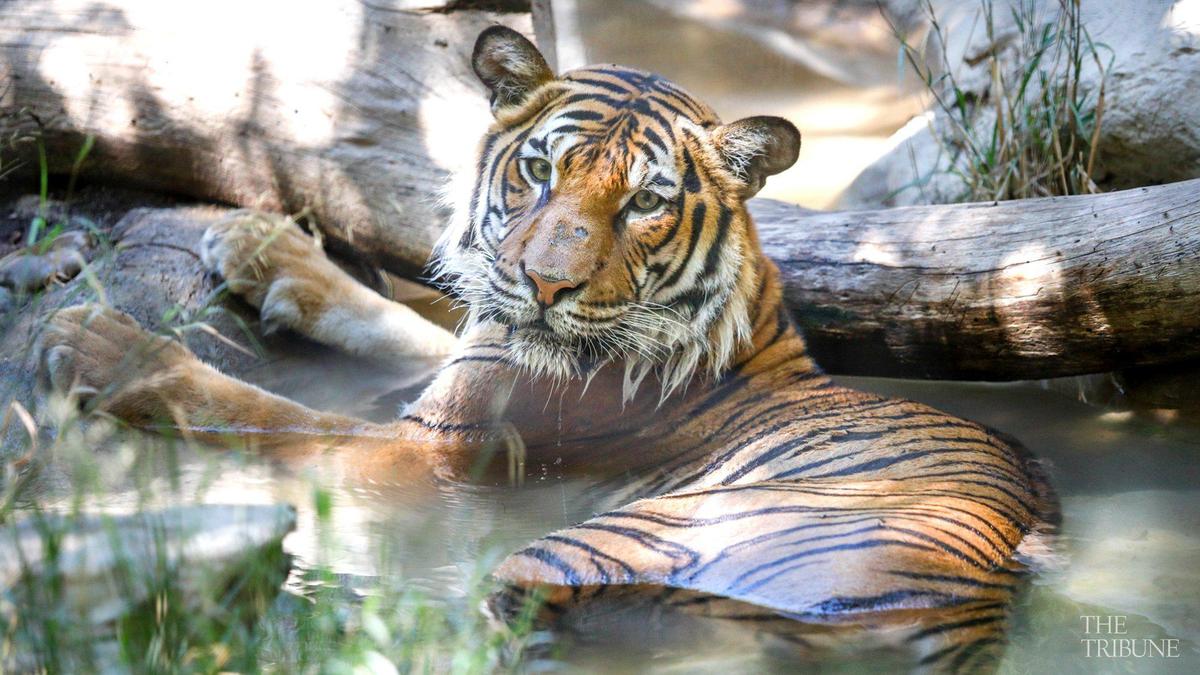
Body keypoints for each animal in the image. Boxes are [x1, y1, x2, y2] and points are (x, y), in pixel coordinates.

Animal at [38, 26, 1057, 671]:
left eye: (644, 202)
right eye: (537, 170)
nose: (544, 285)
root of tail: (977, 613)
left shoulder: (429, 451)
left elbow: (262, 411)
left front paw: (97, 343)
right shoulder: (466, 360)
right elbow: (407, 323)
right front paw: (262, 245)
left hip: (586, 547)